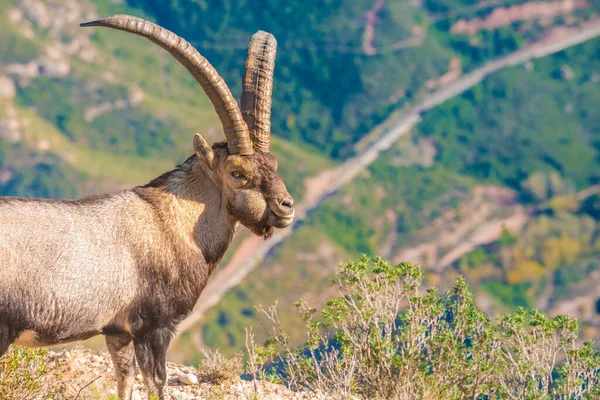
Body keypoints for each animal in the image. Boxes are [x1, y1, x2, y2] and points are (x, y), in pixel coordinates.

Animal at [0, 14, 292, 400]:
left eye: (273, 163)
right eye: (237, 173)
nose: (286, 207)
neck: (175, 225)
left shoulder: (117, 331)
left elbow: (124, 380)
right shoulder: (153, 327)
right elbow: (156, 383)